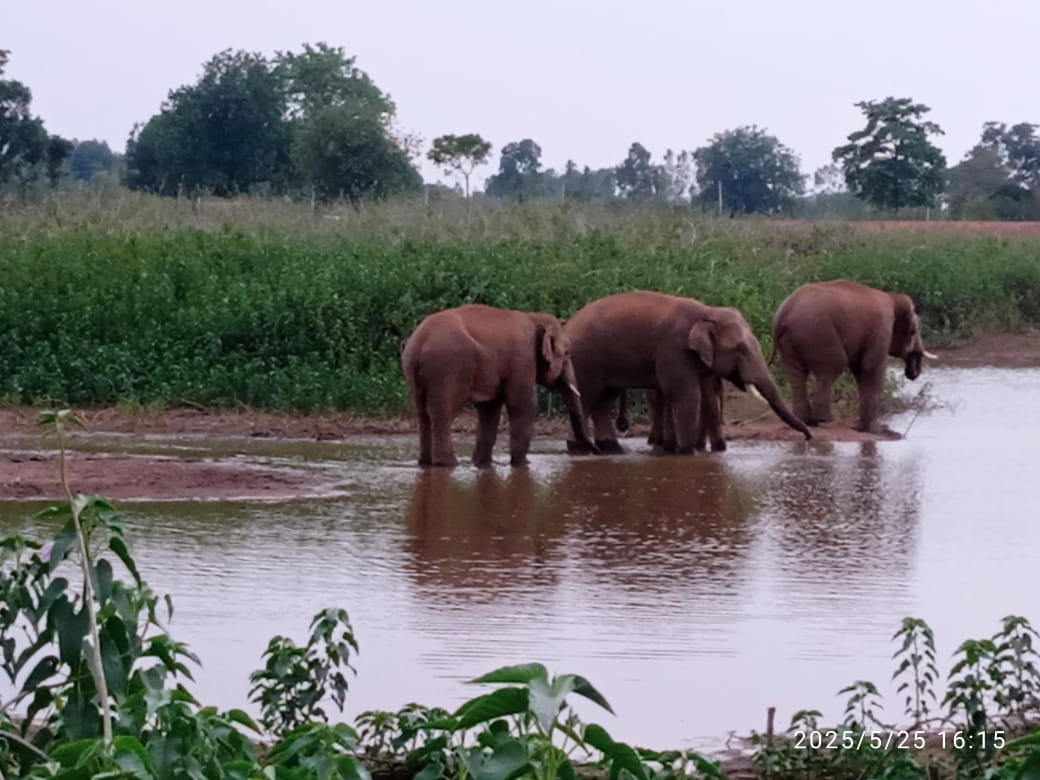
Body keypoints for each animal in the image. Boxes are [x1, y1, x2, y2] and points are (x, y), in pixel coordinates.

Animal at [401, 304, 595, 468]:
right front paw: (523, 464)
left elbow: (490, 409)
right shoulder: (523, 359)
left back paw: (426, 463)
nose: (593, 450)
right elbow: (522, 405)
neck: (535, 316)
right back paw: (448, 464)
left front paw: (482, 464)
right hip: (446, 368)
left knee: (423, 413)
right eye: (567, 353)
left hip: (415, 372)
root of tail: (418, 343)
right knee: (443, 414)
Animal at [562, 290, 812, 455]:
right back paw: (582, 450)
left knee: (604, 401)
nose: (809, 437)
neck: (707, 312)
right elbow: (686, 395)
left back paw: (611, 450)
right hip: (584, 360)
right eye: (740, 350)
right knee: (587, 399)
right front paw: (687, 453)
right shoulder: (674, 349)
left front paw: (677, 451)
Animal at [770, 279, 937, 434]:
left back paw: (806, 421)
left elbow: (859, 370)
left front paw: (863, 428)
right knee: (832, 366)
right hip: (818, 333)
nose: (911, 373)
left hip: (792, 340)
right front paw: (876, 431)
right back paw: (823, 420)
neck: (893, 298)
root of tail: (784, 313)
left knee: (796, 374)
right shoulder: (881, 328)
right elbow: (871, 367)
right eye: (913, 332)